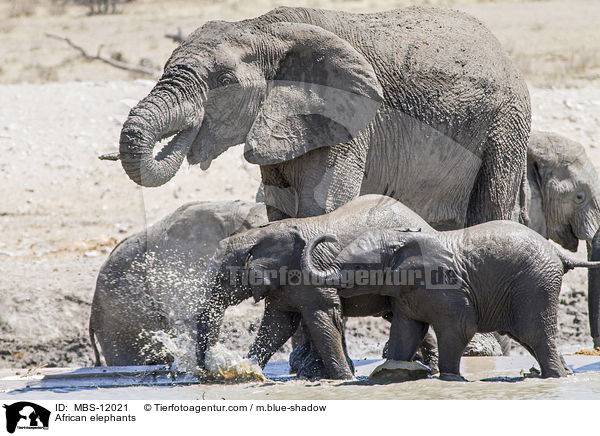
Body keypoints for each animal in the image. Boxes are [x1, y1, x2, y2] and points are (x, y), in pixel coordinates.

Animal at [302, 221, 600, 378]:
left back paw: (555, 378)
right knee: (530, 338)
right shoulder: (406, 292)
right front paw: (392, 372)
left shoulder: (447, 287)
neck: (401, 239)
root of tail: (559, 254)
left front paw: (448, 379)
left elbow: (459, 328)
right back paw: (560, 375)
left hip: (535, 285)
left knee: (535, 334)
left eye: (358, 268)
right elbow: (405, 332)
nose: (327, 237)